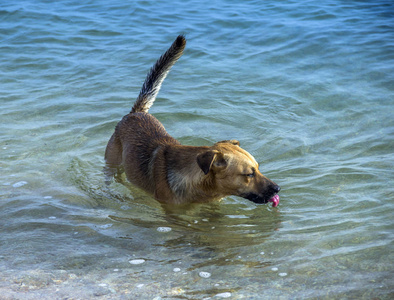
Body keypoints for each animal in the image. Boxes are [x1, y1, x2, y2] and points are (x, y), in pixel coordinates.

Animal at [104, 34, 280, 205]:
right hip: (112, 163)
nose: (277, 188)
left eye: (259, 168)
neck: (200, 184)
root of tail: (136, 112)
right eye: (249, 174)